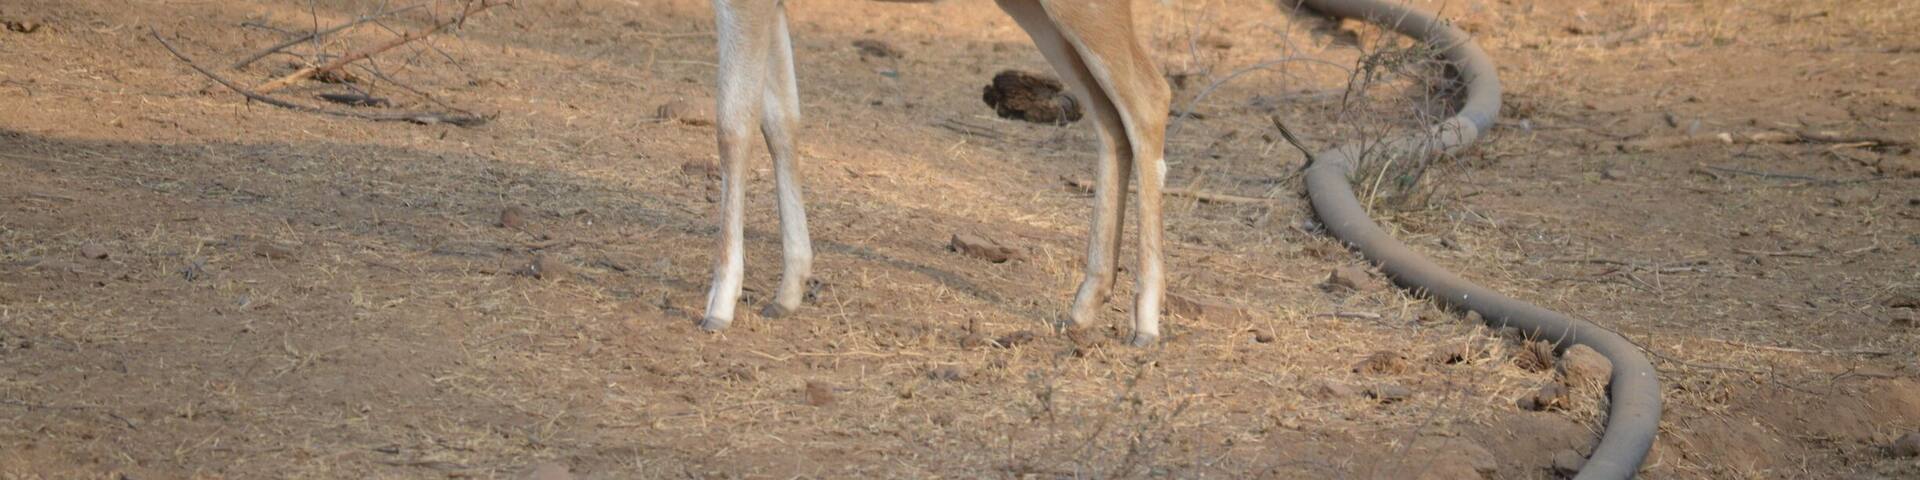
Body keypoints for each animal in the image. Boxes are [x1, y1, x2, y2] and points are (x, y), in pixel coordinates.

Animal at [698, 0, 1172, 346]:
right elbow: (780, 122)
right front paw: (787, 293)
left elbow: (733, 124)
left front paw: (719, 305)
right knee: (1107, 117)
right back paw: (1084, 305)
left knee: (1150, 96)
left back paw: (1145, 323)